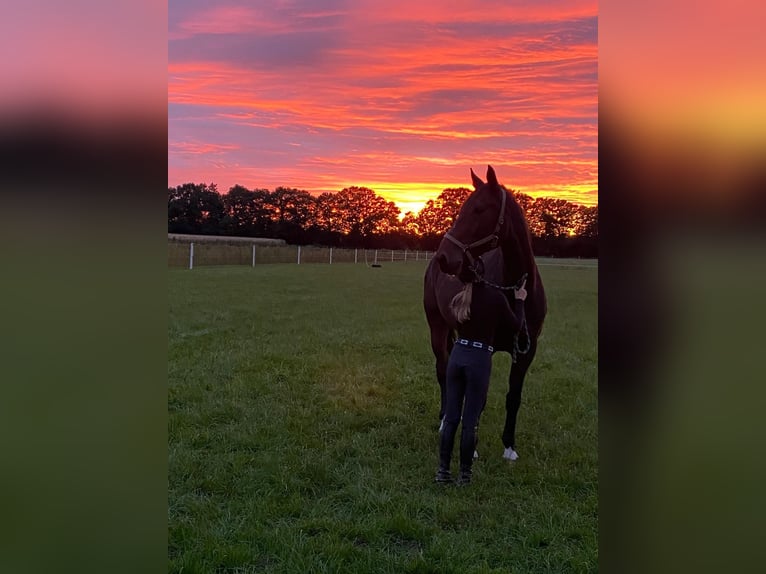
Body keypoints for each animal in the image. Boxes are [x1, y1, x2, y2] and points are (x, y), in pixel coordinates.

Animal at [423, 165, 547, 460]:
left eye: (479, 209)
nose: (445, 257)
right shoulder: (484, 345)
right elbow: (479, 395)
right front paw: (472, 447)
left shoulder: (527, 350)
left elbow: (514, 396)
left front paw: (509, 447)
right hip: (437, 327)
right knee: (442, 370)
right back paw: (444, 420)